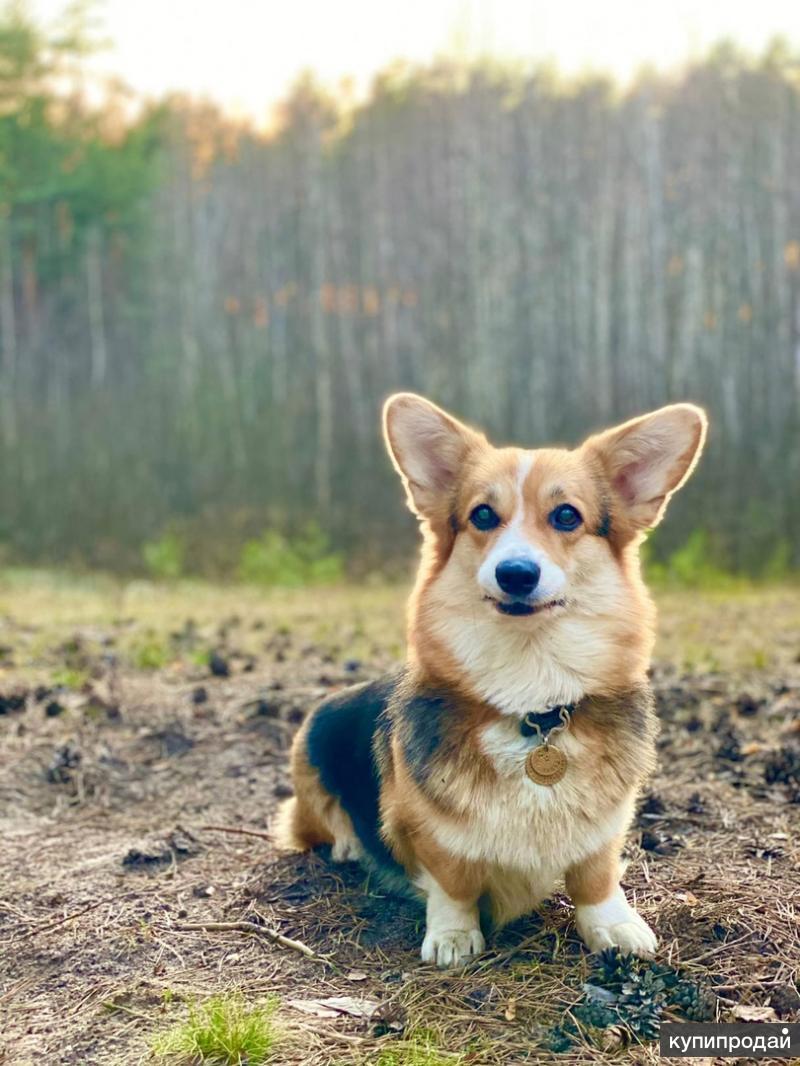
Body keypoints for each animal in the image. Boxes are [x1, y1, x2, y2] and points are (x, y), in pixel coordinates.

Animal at [277, 394, 708, 967]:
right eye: (482, 514)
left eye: (566, 515)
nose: (516, 573)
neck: (532, 695)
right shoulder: (428, 832)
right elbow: (453, 881)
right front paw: (454, 936)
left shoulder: (605, 825)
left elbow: (595, 876)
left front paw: (613, 926)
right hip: (308, 763)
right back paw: (348, 844)